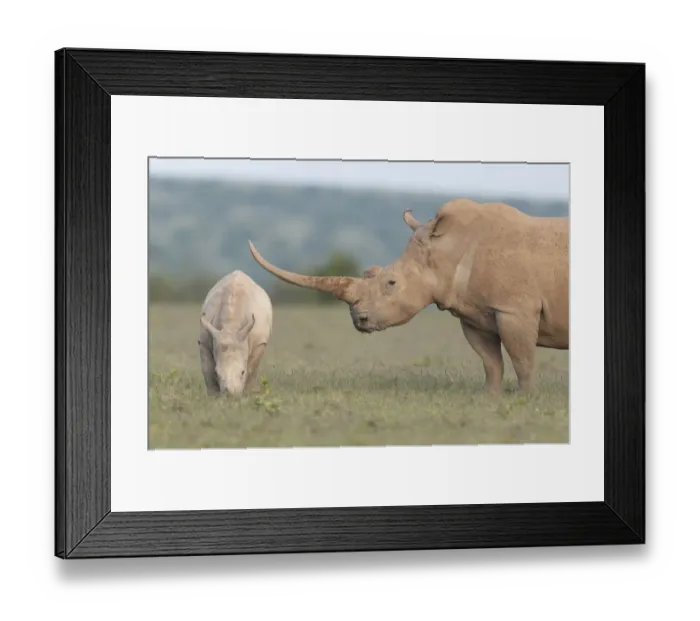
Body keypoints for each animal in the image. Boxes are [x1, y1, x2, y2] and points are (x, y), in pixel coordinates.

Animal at [248, 198, 568, 393]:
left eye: (391, 283)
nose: (359, 319)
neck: (448, 250)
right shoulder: (474, 313)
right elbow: (491, 362)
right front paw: (492, 398)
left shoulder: (514, 309)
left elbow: (523, 360)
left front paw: (525, 397)